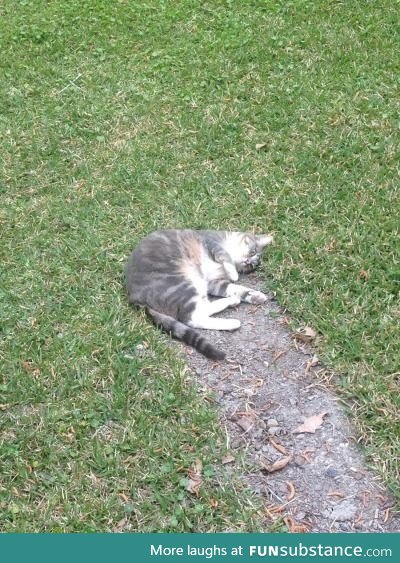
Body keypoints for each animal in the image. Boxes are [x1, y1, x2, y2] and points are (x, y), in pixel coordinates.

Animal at [126, 229, 274, 362]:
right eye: (252, 251)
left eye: (251, 267)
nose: (247, 262)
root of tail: (134, 297)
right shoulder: (210, 241)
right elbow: (225, 256)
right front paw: (234, 273)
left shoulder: (213, 282)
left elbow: (235, 288)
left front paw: (255, 296)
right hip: (183, 282)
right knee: (191, 317)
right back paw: (232, 317)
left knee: (198, 314)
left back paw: (232, 306)